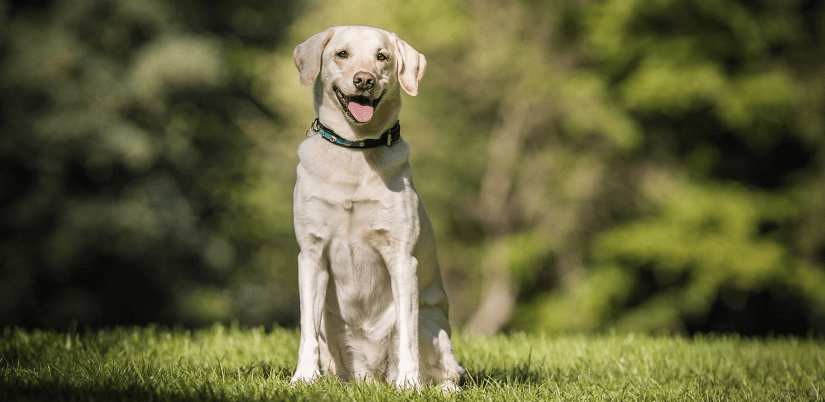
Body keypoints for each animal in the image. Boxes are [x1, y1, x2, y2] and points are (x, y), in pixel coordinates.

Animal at [290, 24, 464, 390]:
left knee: (448, 370)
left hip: (431, 324)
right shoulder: (311, 254)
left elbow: (408, 340)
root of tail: (373, 374)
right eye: (342, 53)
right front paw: (303, 377)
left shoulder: (401, 258)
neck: (355, 150)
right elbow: (306, 330)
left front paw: (409, 384)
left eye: (382, 56)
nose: (364, 80)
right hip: (334, 334)